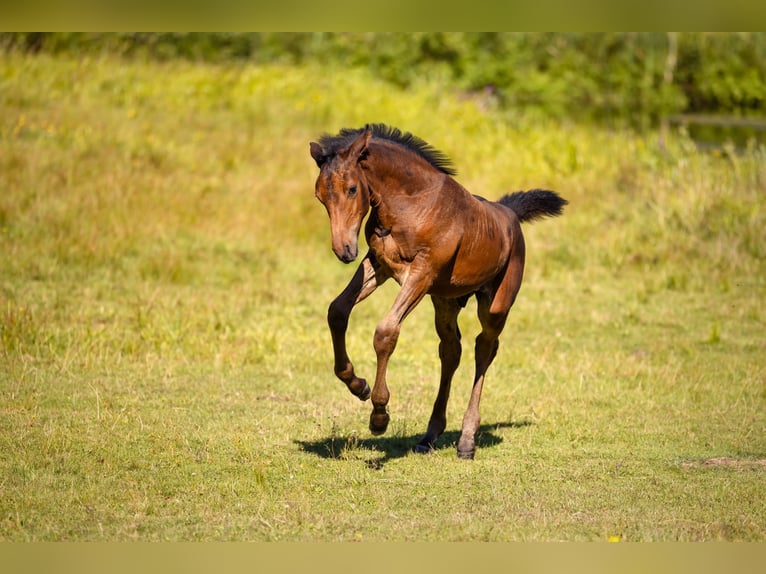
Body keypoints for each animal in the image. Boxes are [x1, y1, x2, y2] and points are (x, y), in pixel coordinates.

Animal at [308, 124, 568, 462]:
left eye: (352, 189)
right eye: (320, 196)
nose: (344, 251)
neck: (410, 205)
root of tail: (509, 214)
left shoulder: (422, 272)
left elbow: (386, 332)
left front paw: (379, 415)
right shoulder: (379, 264)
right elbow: (337, 311)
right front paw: (357, 384)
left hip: (495, 305)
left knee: (485, 348)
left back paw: (467, 440)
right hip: (445, 300)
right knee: (451, 350)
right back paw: (429, 435)